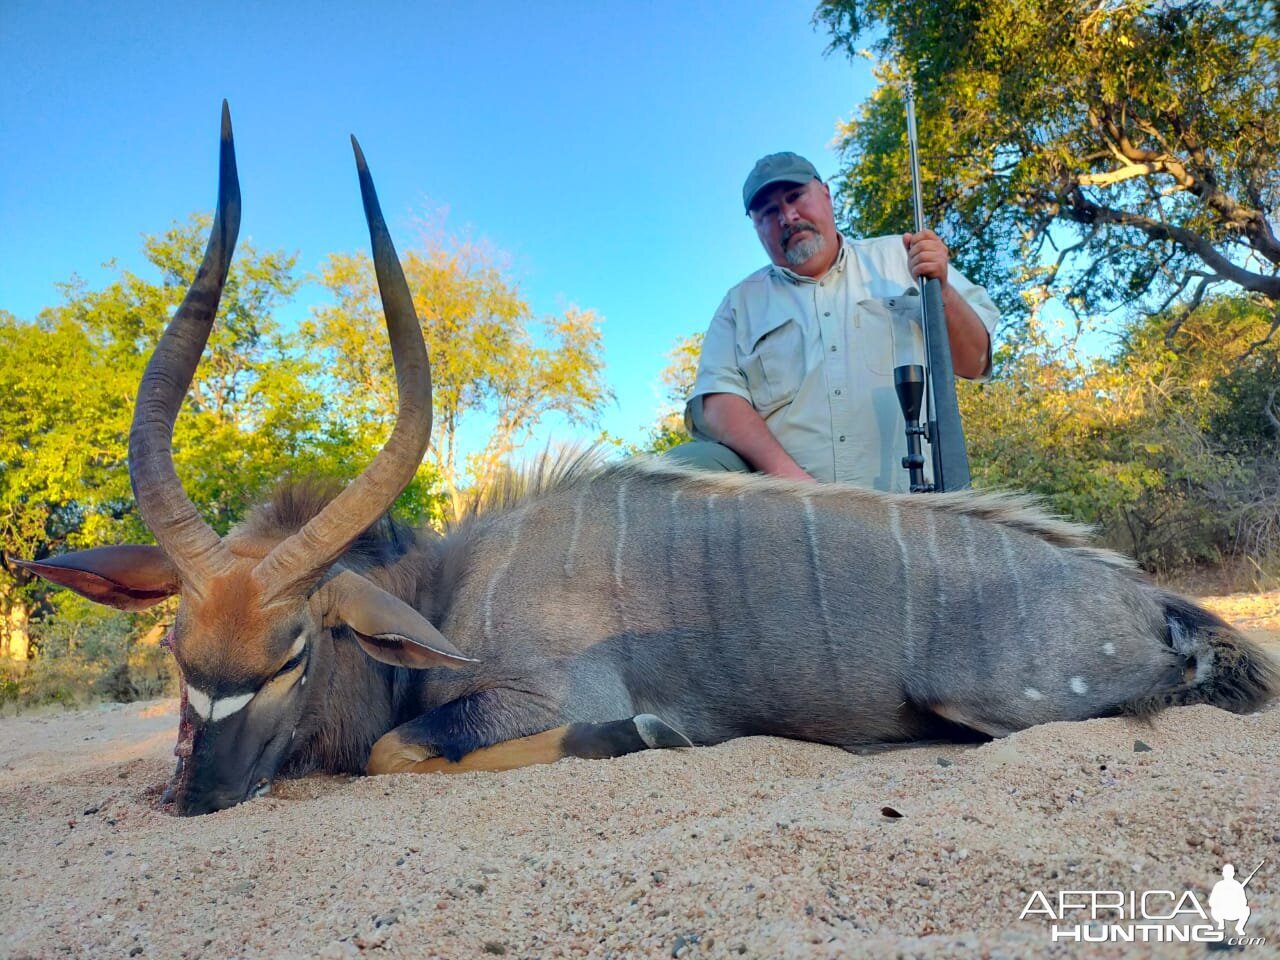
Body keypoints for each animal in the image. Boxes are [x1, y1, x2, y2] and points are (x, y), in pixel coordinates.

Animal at [15, 110, 1274, 819]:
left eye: (292, 651)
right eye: (176, 650)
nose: (193, 798)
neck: (449, 589)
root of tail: (1151, 601)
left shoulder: (541, 696)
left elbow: (395, 749)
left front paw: (652, 735)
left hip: (991, 705)